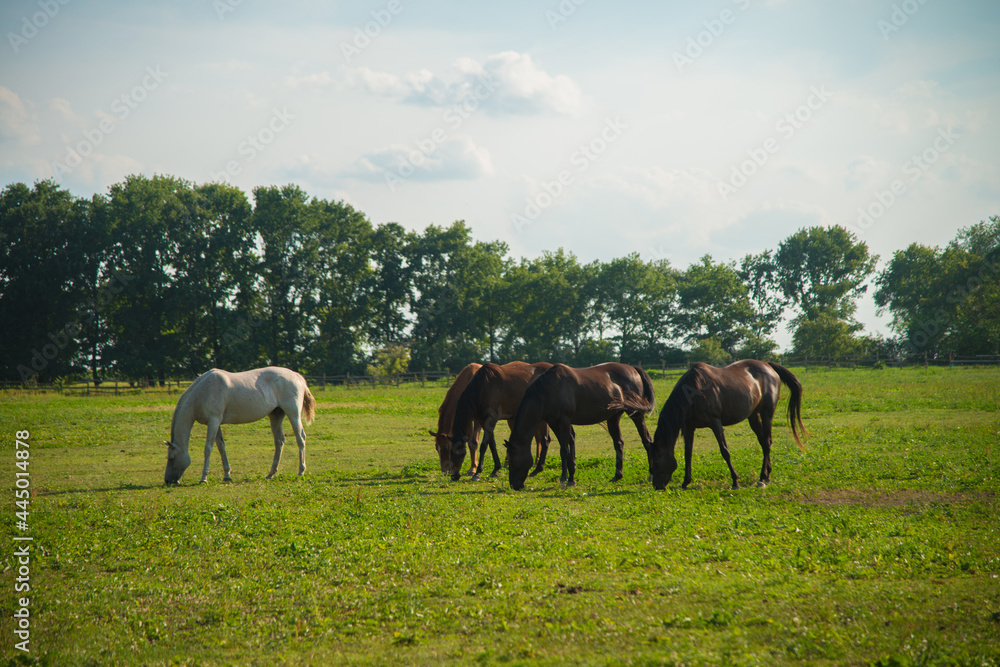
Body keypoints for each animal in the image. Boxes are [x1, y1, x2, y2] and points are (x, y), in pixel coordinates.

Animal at [163, 366, 316, 486]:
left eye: (171, 458)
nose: (168, 481)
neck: (203, 391)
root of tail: (296, 376)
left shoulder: (213, 421)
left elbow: (208, 448)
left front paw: (204, 478)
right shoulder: (216, 423)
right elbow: (221, 447)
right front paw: (227, 475)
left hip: (293, 414)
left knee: (300, 438)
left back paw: (301, 471)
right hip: (275, 415)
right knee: (279, 441)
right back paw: (271, 474)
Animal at [508, 366, 656, 490]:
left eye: (512, 459)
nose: (514, 485)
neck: (549, 390)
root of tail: (634, 369)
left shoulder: (564, 421)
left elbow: (564, 449)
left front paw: (563, 480)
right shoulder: (554, 423)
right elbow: (568, 447)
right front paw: (571, 479)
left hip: (636, 414)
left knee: (647, 440)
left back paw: (651, 475)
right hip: (613, 418)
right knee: (619, 443)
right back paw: (617, 476)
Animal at [648, 360, 804, 490]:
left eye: (656, 463)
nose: (657, 486)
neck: (694, 392)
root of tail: (768, 366)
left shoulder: (715, 423)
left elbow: (725, 451)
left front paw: (735, 481)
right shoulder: (688, 428)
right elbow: (688, 454)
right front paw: (686, 482)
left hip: (767, 413)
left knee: (767, 442)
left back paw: (763, 478)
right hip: (753, 416)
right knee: (764, 442)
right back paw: (766, 476)